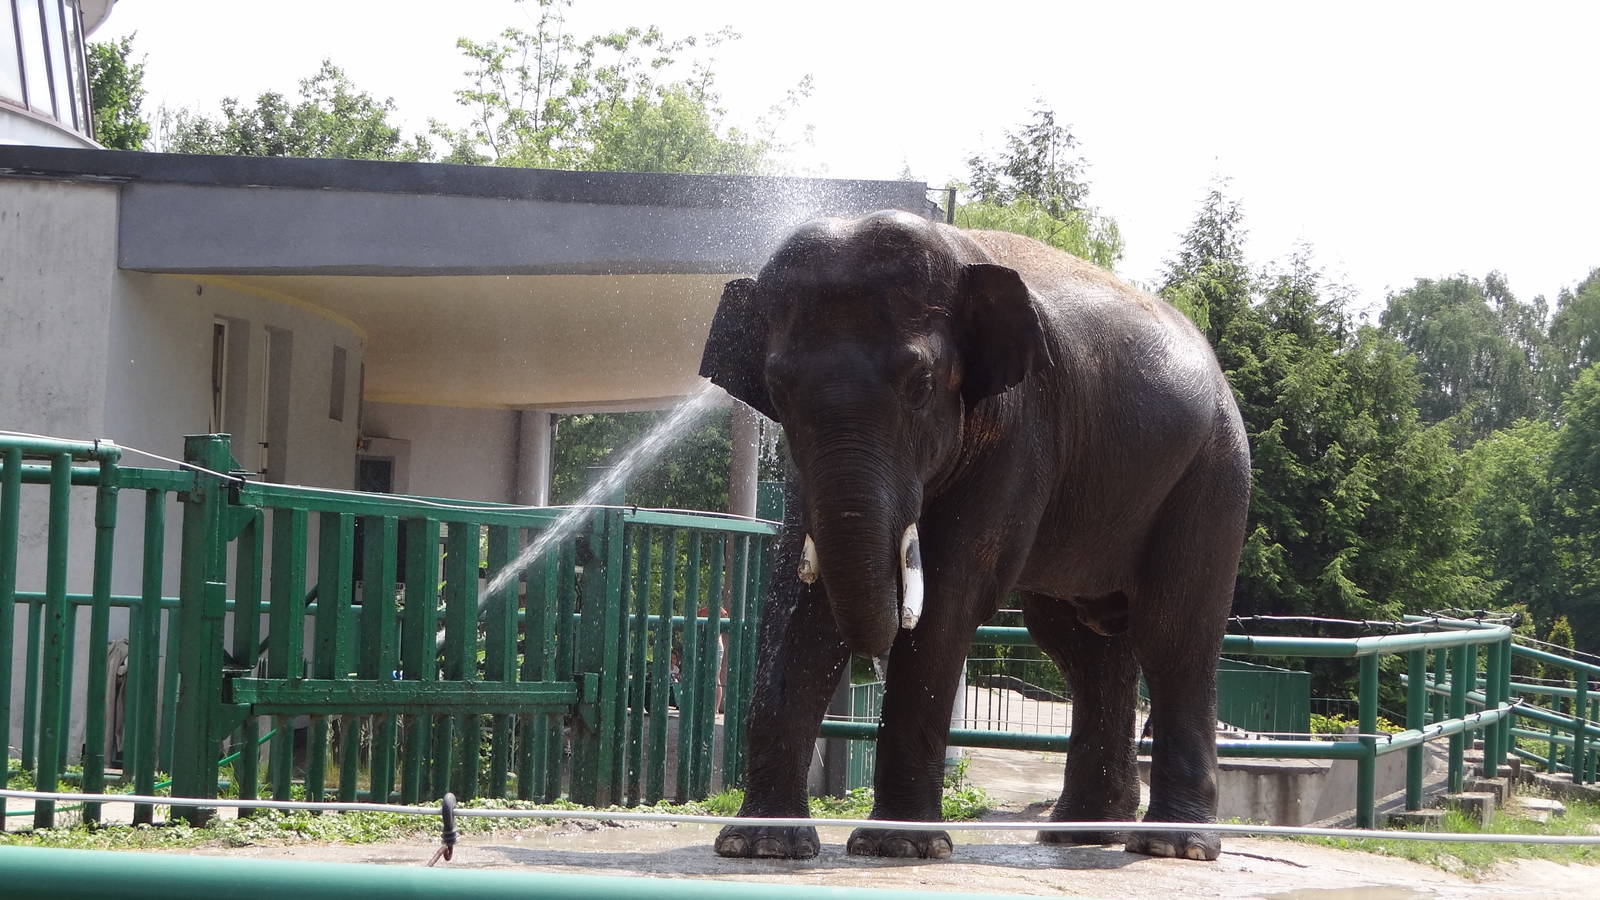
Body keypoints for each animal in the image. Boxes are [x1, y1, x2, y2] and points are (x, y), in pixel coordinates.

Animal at [697, 210, 1250, 862]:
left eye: (919, 384)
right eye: (778, 390)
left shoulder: (1021, 427)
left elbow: (950, 597)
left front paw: (899, 847)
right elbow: (796, 599)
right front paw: (759, 844)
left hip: (1213, 472)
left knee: (1173, 634)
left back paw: (1171, 846)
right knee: (1080, 645)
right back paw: (1080, 834)